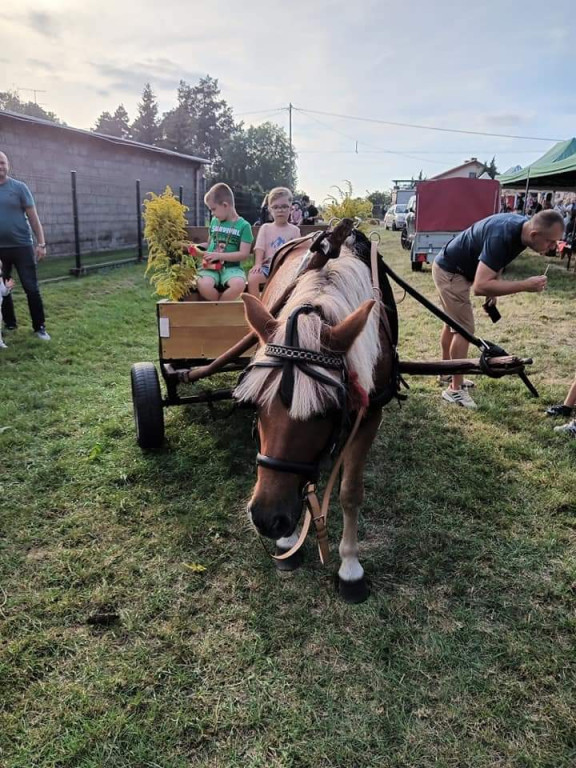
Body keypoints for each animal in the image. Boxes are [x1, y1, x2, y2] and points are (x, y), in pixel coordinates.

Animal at [232, 225, 398, 604]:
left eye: (326, 411)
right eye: (254, 406)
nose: (268, 519)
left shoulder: (370, 414)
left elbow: (350, 491)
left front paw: (350, 567)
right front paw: (288, 542)